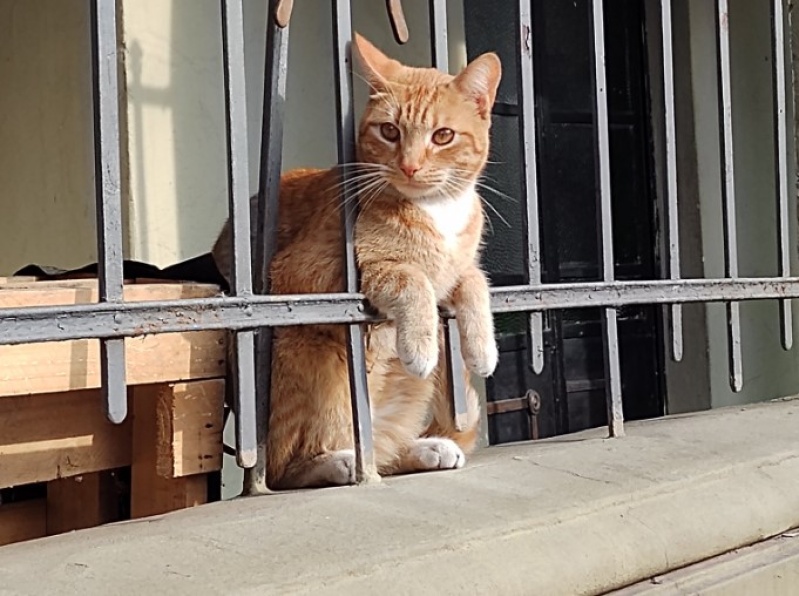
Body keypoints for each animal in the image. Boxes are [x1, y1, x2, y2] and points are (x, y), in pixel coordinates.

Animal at [212, 33, 501, 490]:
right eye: (389, 131)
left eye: (443, 135)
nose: (410, 166)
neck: (438, 210)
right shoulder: (311, 272)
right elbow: (412, 277)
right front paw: (420, 343)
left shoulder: (458, 268)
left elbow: (473, 280)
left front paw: (482, 349)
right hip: (316, 365)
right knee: (289, 466)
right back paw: (339, 462)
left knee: (380, 453)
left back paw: (424, 448)